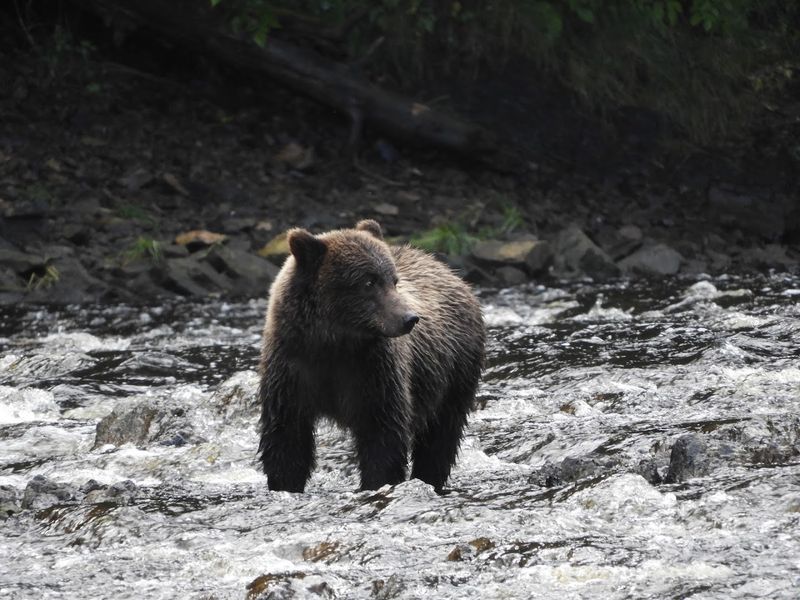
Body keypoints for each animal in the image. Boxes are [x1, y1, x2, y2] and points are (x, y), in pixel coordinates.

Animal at [257, 219, 485, 493]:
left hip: (456, 371)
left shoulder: (373, 370)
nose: (410, 318)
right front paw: (284, 483)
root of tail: (450, 272)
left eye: (394, 281)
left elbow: (382, 434)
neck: (332, 343)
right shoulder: (292, 368)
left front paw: (377, 482)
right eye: (368, 282)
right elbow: (287, 438)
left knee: (441, 436)